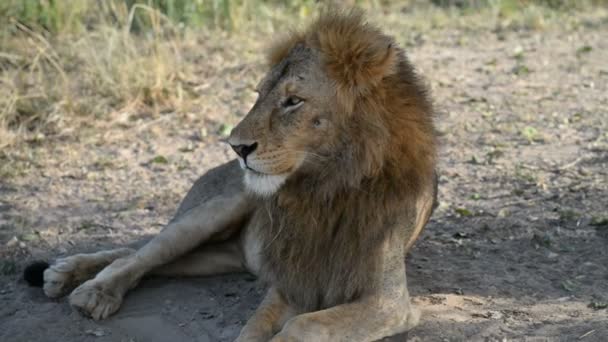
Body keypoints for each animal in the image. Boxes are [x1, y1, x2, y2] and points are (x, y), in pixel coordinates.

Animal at [23, 8, 436, 342]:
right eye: (259, 94)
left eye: (293, 101)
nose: (236, 147)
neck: (326, 186)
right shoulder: (290, 283)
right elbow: (260, 326)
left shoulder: (388, 301)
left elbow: (305, 324)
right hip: (216, 210)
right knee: (139, 255)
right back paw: (84, 286)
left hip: (218, 255)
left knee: (138, 255)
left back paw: (65, 273)